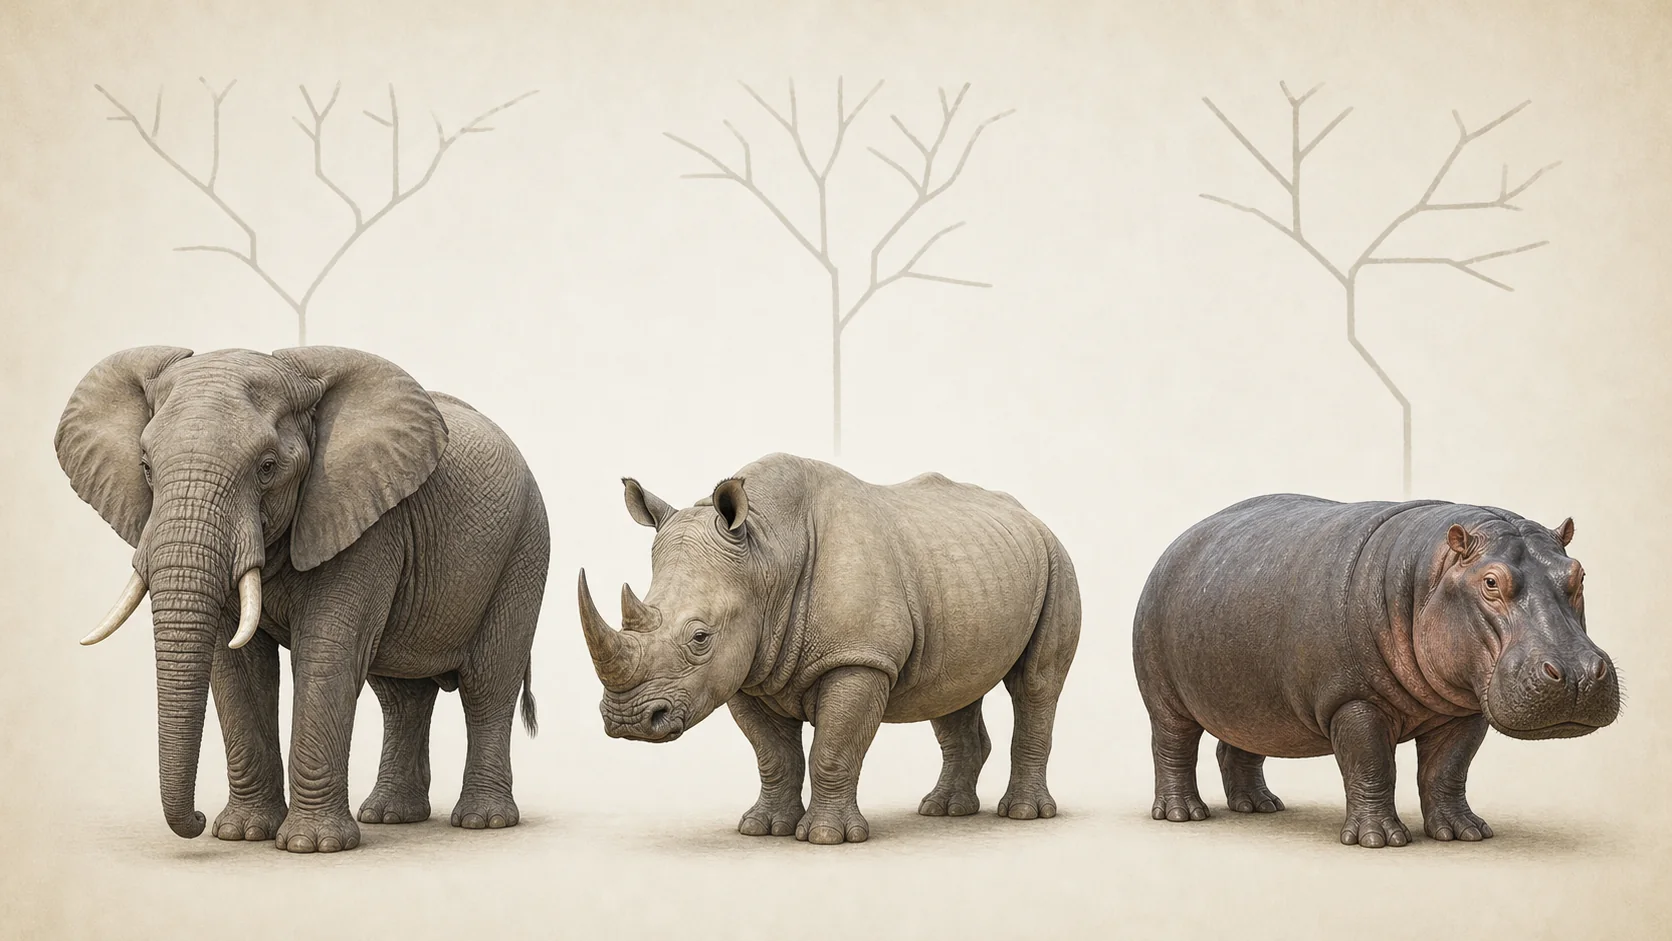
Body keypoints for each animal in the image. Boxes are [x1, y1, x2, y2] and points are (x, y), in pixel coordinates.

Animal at [55, 346, 549, 853]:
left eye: (267, 467)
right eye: (146, 468)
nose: (196, 818)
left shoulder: (368, 522)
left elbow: (325, 653)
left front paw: (312, 846)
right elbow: (237, 666)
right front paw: (242, 834)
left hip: (525, 548)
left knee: (488, 683)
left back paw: (482, 821)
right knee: (401, 696)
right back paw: (390, 816)